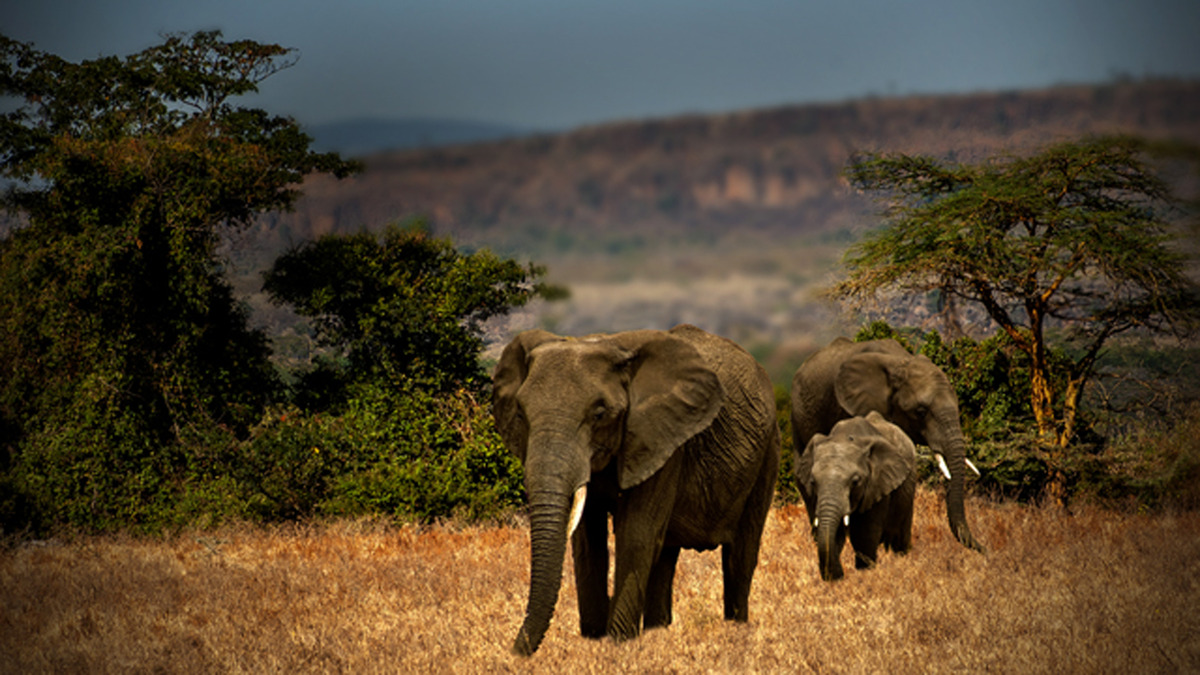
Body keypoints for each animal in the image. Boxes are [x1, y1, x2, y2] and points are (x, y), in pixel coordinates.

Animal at [494, 324, 782, 653]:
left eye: (599, 413)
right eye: (520, 414)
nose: (516, 654)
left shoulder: (663, 439)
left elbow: (636, 535)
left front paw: (618, 645)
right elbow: (588, 543)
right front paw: (594, 641)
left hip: (768, 452)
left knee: (740, 555)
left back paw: (736, 633)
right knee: (666, 556)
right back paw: (659, 632)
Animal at [796, 410, 916, 578]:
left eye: (855, 481)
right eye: (813, 482)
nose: (839, 575)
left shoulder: (877, 484)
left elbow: (864, 535)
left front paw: (865, 574)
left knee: (900, 535)